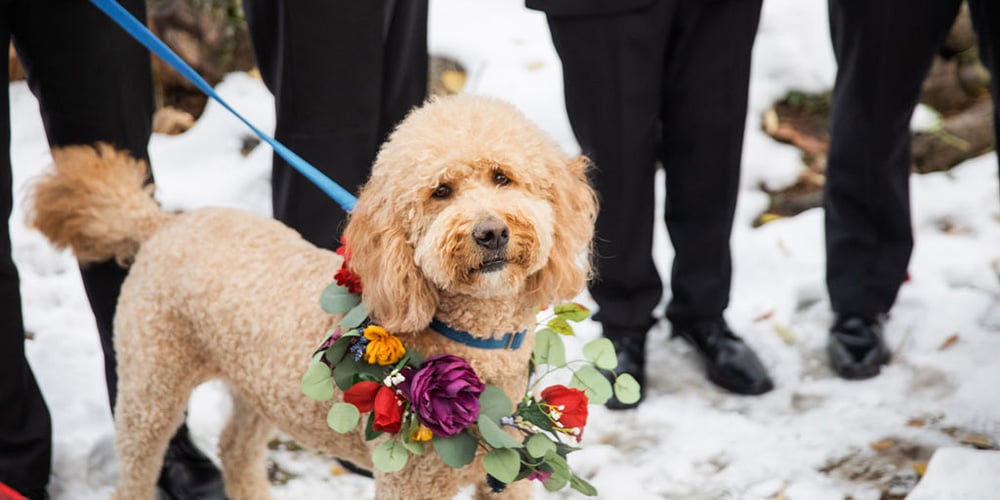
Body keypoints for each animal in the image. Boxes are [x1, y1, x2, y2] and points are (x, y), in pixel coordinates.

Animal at [29, 94, 592, 500]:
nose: (490, 232)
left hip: (255, 387)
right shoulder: (408, 482)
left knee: (235, 450)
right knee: (138, 468)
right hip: (152, 381)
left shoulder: (508, 476)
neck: (473, 339)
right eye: (441, 192)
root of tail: (162, 223)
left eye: (502, 176)